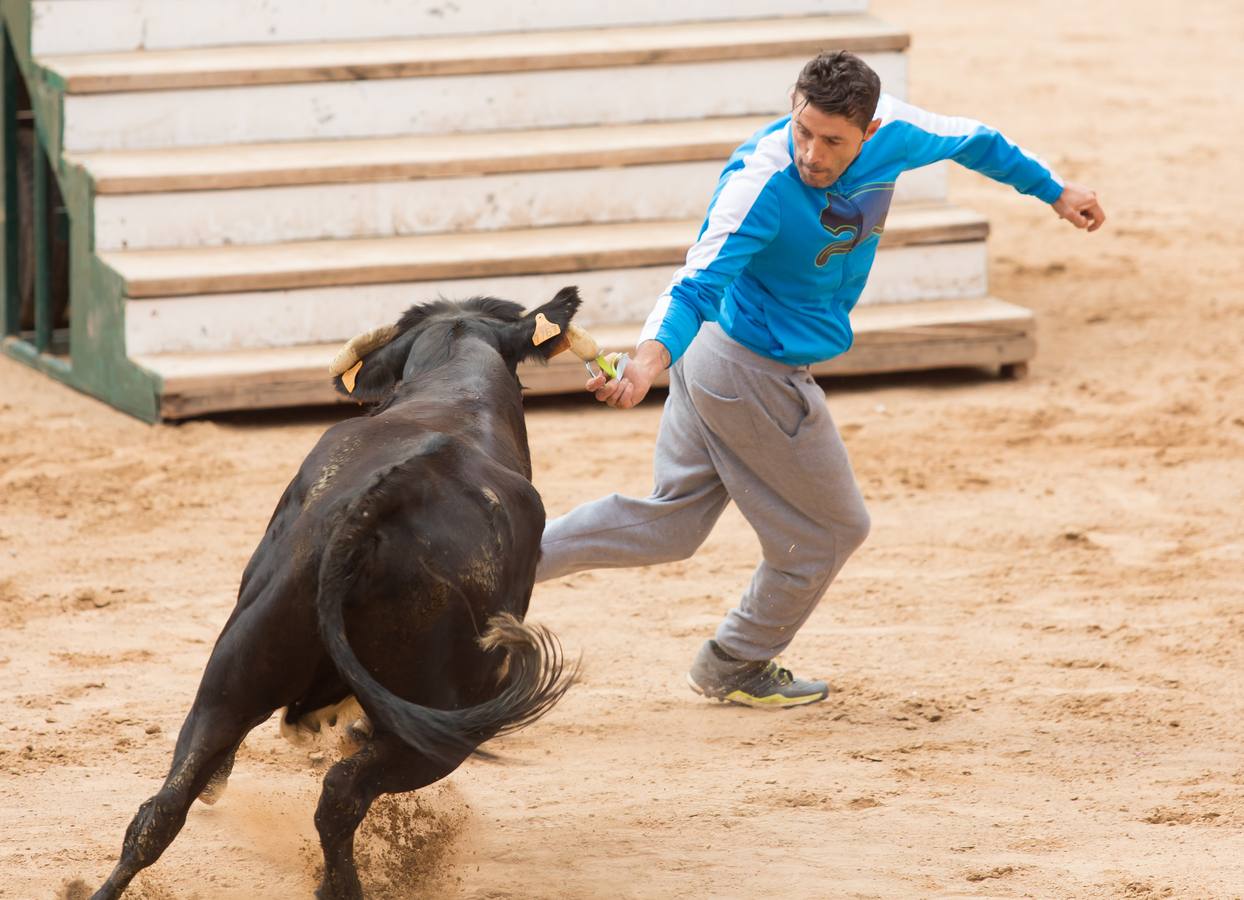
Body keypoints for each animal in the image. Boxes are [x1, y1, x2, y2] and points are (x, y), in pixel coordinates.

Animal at [90, 290, 584, 900]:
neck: (454, 393)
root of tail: (380, 504)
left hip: (234, 673)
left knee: (164, 806)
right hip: (451, 723)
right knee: (341, 794)